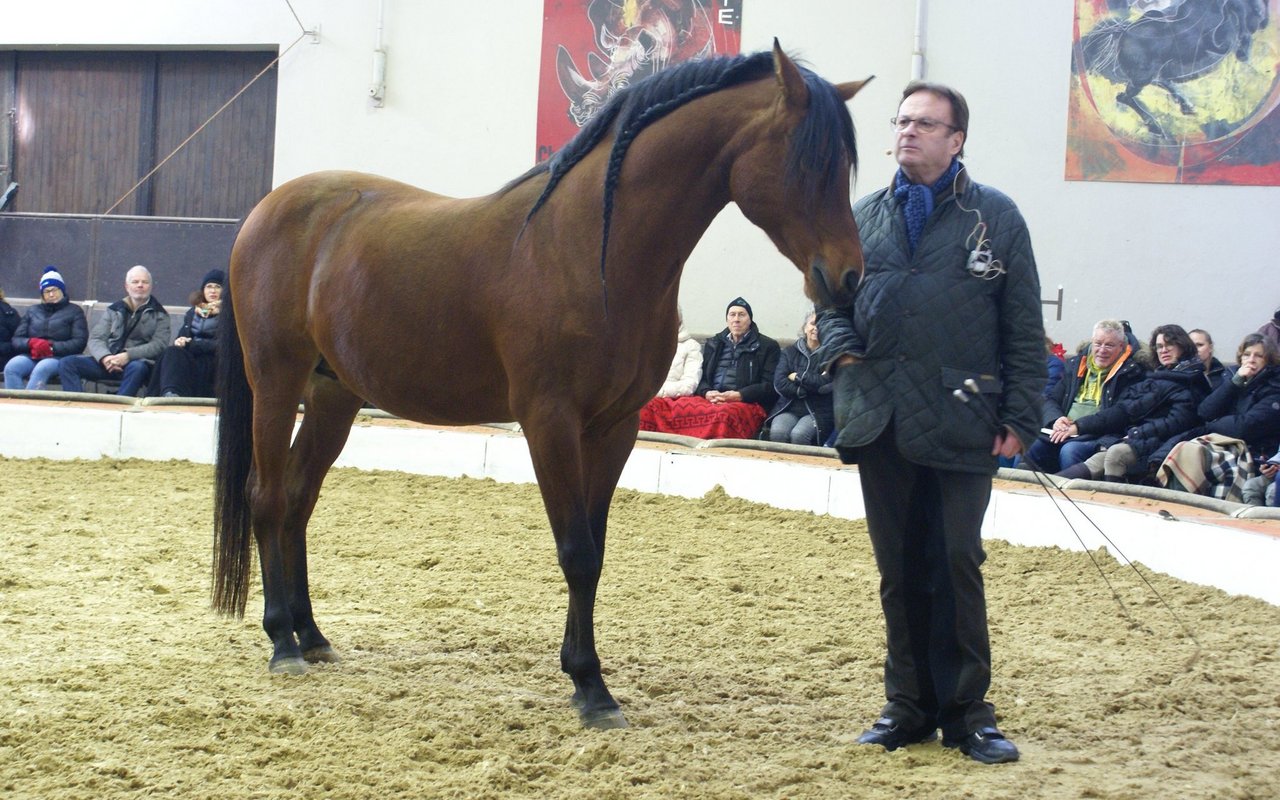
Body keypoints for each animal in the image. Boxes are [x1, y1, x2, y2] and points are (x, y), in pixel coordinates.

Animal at [215, 45, 875, 732]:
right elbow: (575, 551)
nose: (848, 277)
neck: (593, 250)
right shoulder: (549, 420)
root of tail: (264, 213)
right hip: (275, 382)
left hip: (333, 396)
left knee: (298, 499)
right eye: (808, 162)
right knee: (266, 496)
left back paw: (311, 634)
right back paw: (282, 642)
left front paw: (583, 674)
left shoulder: (614, 427)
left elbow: (595, 550)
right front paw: (591, 687)